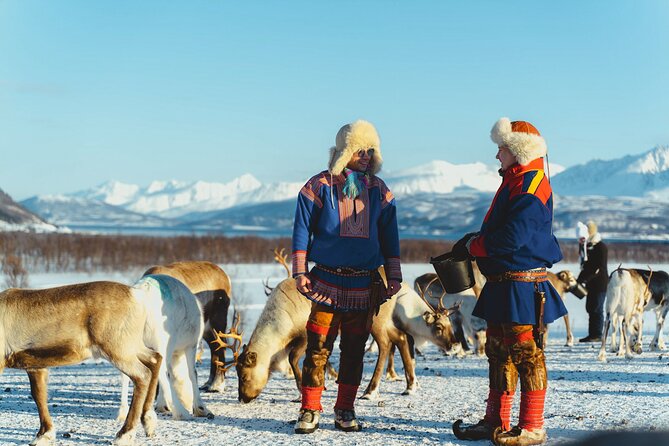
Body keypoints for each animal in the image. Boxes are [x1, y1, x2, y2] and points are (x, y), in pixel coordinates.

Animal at [0, 281, 162, 446]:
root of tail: (137, 295)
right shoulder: (35, 366)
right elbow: (39, 395)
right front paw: (44, 435)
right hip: (131, 346)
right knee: (155, 358)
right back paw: (148, 421)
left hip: (117, 349)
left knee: (142, 374)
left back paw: (124, 434)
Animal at [117, 275, 213, 422]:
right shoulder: (191, 345)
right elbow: (192, 374)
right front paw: (201, 409)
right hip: (162, 342)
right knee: (161, 370)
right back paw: (181, 412)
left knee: (125, 372)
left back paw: (123, 413)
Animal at [142, 261, 232, 392]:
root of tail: (225, 276)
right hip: (206, 327)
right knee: (214, 345)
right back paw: (208, 383)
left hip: (218, 318)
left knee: (221, 344)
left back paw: (217, 385)